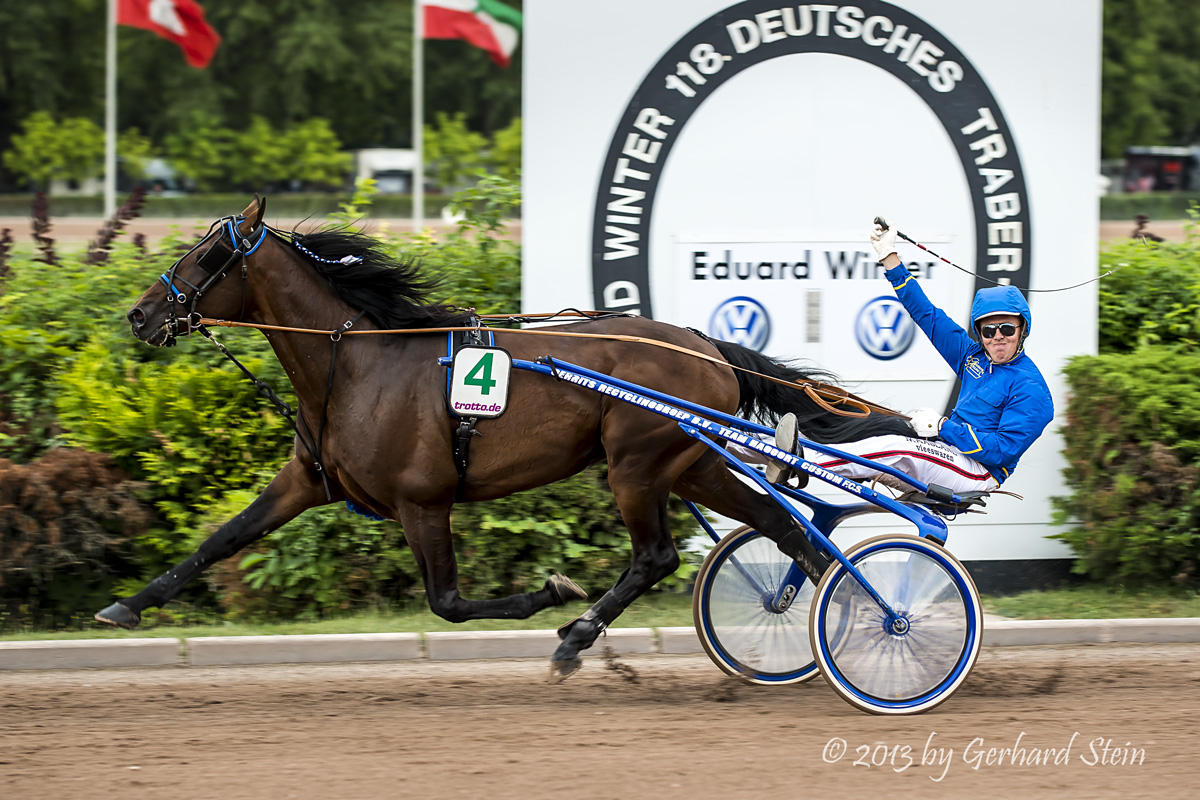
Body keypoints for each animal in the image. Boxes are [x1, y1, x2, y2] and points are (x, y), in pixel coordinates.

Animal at [103, 196, 907, 681]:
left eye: (208, 256)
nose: (140, 316)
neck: (358, 363)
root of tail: (705, 345)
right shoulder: (307, 479)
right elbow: (222, 539)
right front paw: (125, 607)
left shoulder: (423, 501)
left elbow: (448, 602)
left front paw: (550, 592)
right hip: (689, 464)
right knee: (780, 523)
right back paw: (854, 614)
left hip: (637, 464)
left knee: (657, 555)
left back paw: (578, 637)